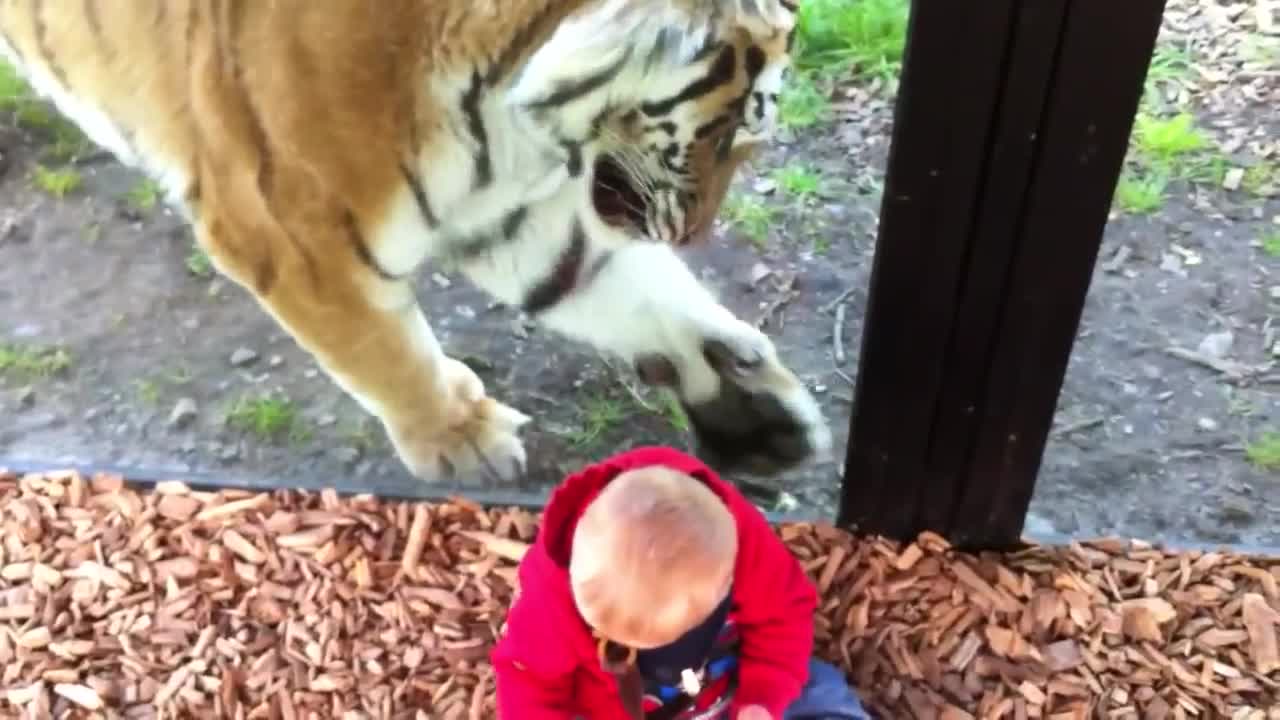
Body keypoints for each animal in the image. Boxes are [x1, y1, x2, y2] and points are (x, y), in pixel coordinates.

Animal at [0, 1, 829, 481]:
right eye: (726, 131)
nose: (694, 233)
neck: (499, 108)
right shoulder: (292, 232)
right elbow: (386, 351)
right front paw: (462, 438)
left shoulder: (518, 213)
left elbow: (628, 292)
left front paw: (750, 407)